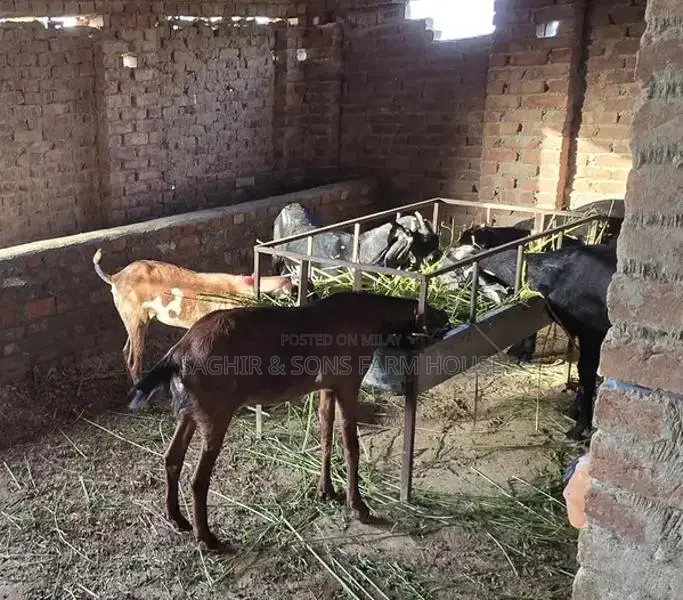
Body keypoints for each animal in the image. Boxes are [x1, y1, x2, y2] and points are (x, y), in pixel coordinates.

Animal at [126, 291, 450, 550]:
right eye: (430, 313)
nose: (445, 316)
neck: (369, 316)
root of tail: (176, 355)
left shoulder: (327, 387)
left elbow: (325, 432)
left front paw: (325, 490)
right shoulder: (348, 382)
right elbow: (350, 444)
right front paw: (358, 507)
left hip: (190, 413)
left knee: (172, 457)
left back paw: (177, 518)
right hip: (215, 414)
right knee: (198, 478)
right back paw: (207, 538)